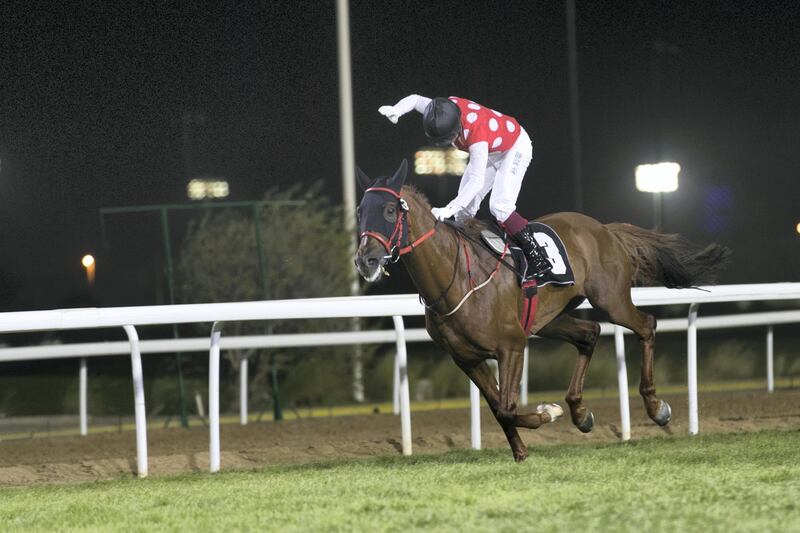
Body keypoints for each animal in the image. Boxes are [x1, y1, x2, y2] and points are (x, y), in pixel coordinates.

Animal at [354, 159, 728, 462]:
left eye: (389, 211)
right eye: (359, 211)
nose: (365, 259)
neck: (455, 278)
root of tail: (604, 229)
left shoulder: (511, 346)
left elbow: (507, 408)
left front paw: (548, 413)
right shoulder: (467, 359)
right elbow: (497, 408)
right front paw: (522, 452)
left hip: (611, 301)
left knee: (646, 325)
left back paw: (655, 407)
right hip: (547, 320)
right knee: (589, 334)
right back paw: (580, 412)